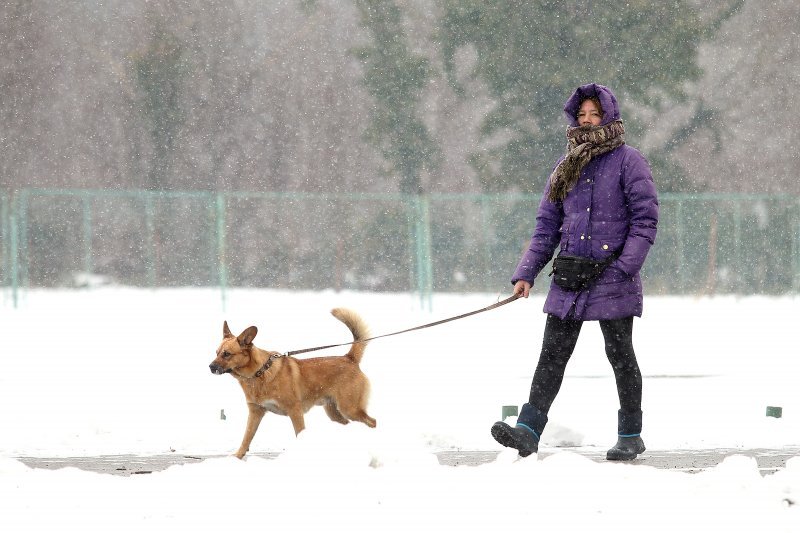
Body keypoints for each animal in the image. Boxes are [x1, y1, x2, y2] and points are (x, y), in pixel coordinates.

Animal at [209, 308, 378, 458]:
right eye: (216, 353)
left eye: (227, 354)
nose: (210, 367)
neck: (260, 372)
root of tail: (349, 358)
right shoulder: (255, 412)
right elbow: (246, 437)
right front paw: (238, 456)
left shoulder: (295, 410)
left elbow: (299, 432)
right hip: (335, 413)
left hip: (349, 409)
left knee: (373, 421)